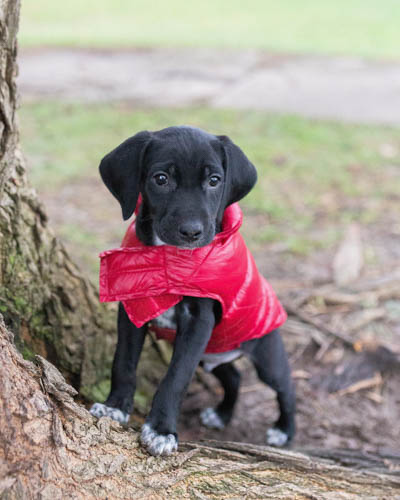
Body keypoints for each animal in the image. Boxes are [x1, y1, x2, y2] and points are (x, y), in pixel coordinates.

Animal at [91, 126, 296, 458]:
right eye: (161, 179)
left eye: (214, 180)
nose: (191, 232)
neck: (168, 258)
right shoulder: (134, 309)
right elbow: (123, 362)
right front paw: (115, 407)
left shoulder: (199, 321)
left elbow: (176, 377)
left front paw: (161, 430)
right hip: (212, 353)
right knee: (234, 376)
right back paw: (222, 414)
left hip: (265, 351)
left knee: (286, 387)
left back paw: (285, 430)